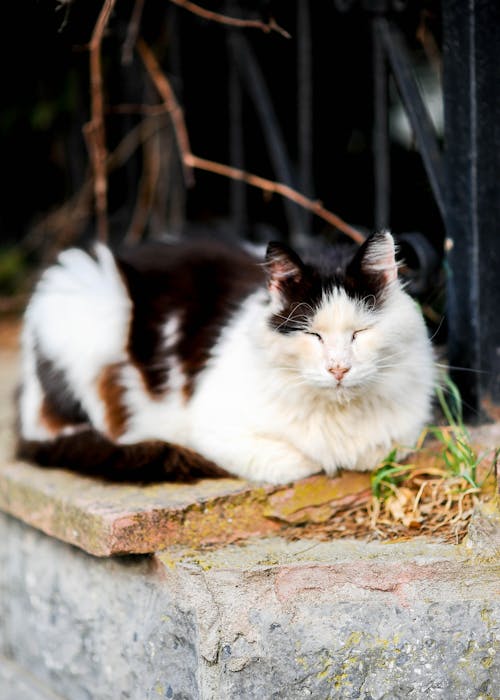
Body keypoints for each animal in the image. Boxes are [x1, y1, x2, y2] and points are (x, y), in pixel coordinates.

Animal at [15, 232, 436, 484]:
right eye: (312, 335)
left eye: (359, 333)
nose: (338, 369)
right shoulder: (213, 430)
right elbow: (304, 461)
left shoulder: (404, 434)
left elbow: (382, 449)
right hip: (85, 290)